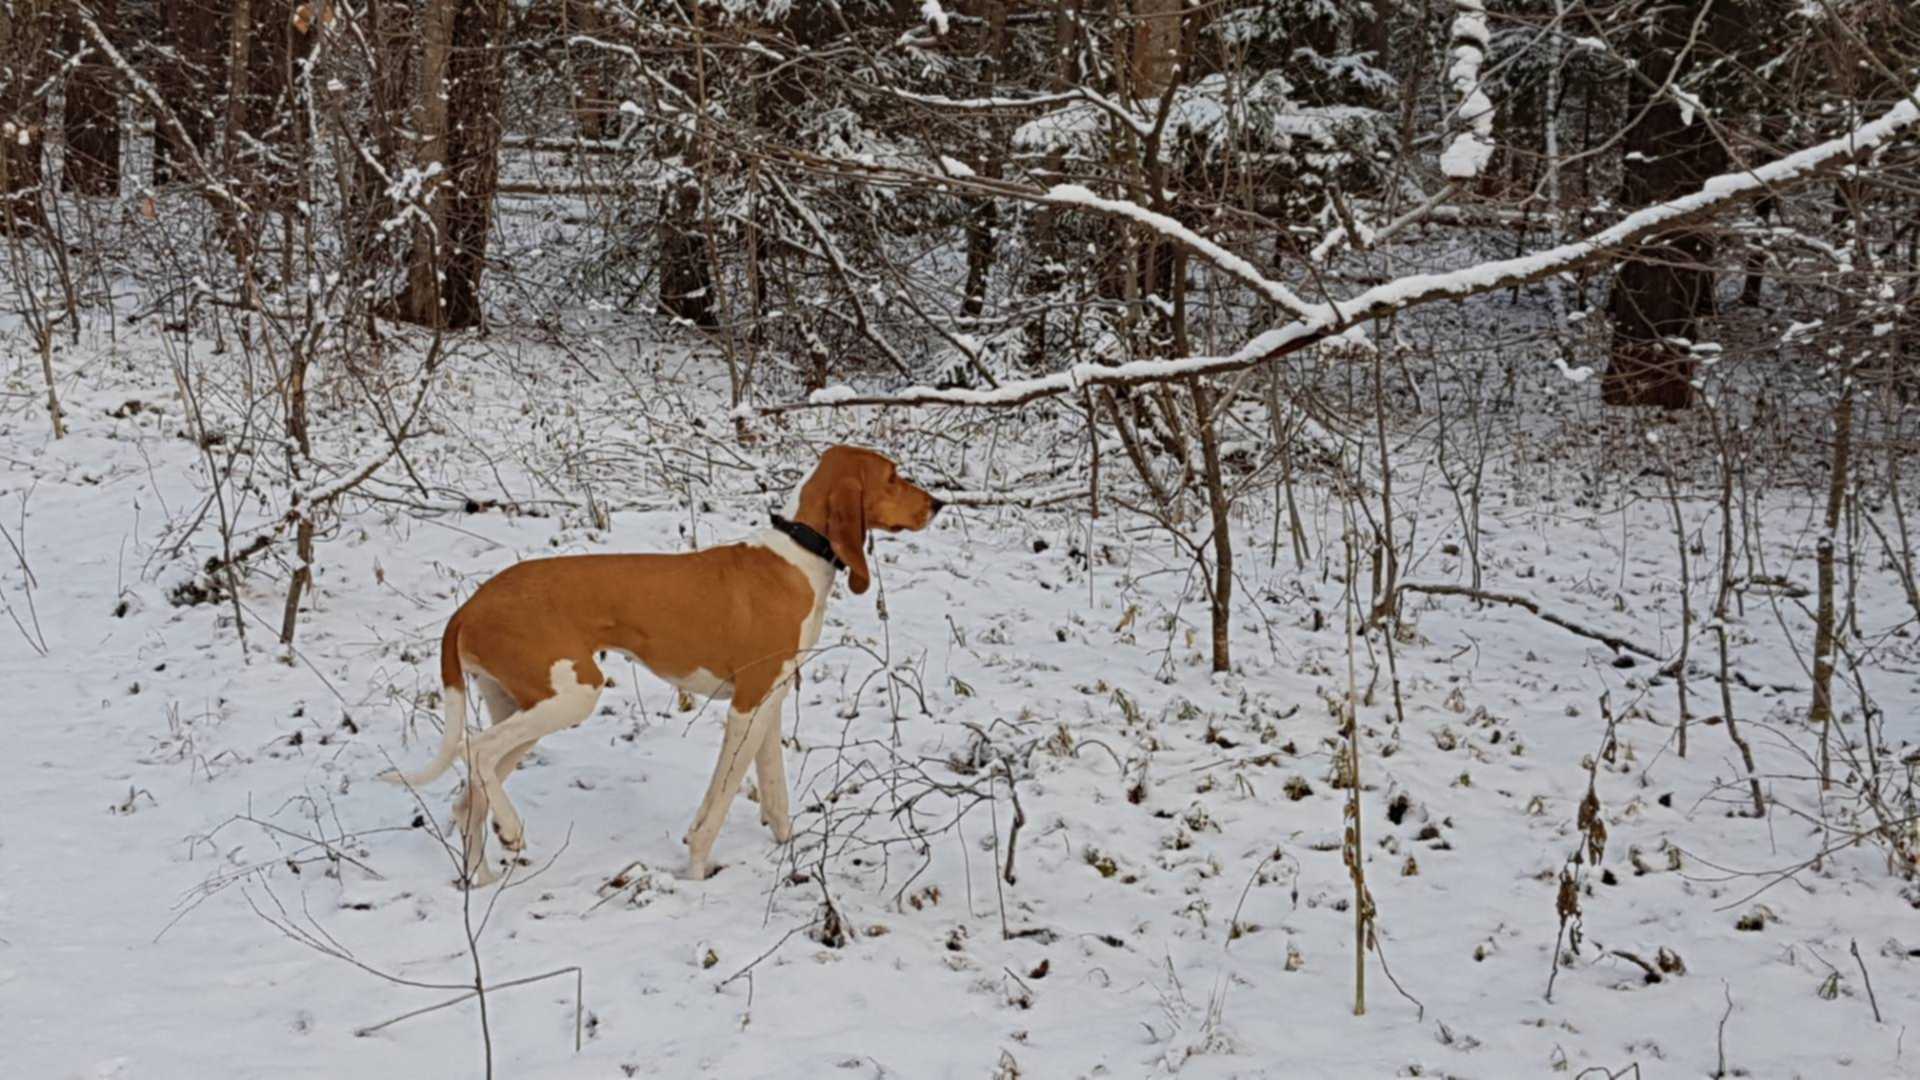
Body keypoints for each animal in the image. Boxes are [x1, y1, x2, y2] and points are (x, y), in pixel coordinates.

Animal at [384, 441, 944, 880]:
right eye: (892, 476)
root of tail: (470, 605)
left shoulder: (771, 701)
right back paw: (514, 830)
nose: (938, 503)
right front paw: (696, 870)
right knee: (475, 752)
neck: (799, 554)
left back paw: (480, 876)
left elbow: (776, 793)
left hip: (522, 705)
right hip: (571, 695)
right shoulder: (746, 708)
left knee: (470, 796)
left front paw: (787, 850)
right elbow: (719, 800)